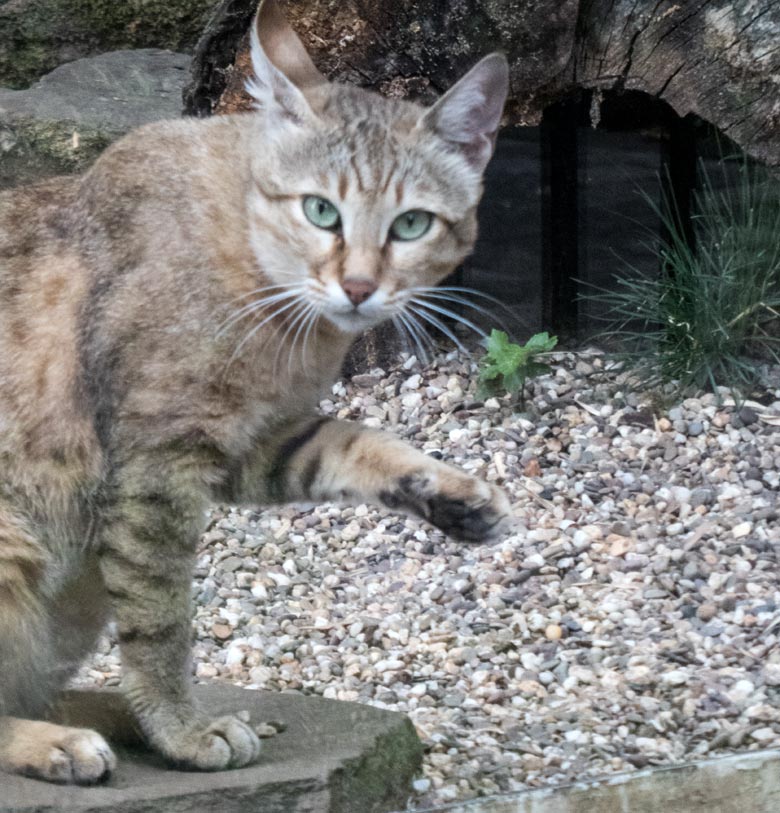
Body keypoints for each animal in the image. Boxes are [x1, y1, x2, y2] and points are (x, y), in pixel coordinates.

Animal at [0, 0, 512, 784]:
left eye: (412, 223)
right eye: (322, 212)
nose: (358, 287)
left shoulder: (251, 438)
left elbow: (355, 441)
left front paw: (451, 493)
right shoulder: (155, 467)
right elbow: (161, 621)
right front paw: (180, 729)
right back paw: (61, 740)